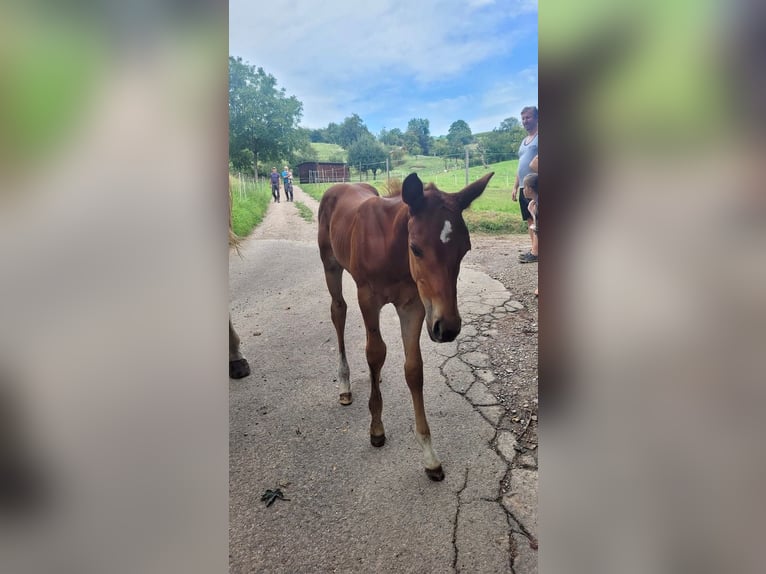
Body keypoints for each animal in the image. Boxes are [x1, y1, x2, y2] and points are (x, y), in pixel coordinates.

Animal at [320, 171, 496, 482]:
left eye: (465, 249)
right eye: (416, 248)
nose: (448, 328)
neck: (390, 248)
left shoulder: (413, 306)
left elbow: (413, 369)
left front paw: (429, 456)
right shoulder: (368, 299)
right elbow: (375, 352)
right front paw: (376, 428)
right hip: (330, 266)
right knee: (338, 311)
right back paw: (344, 384)